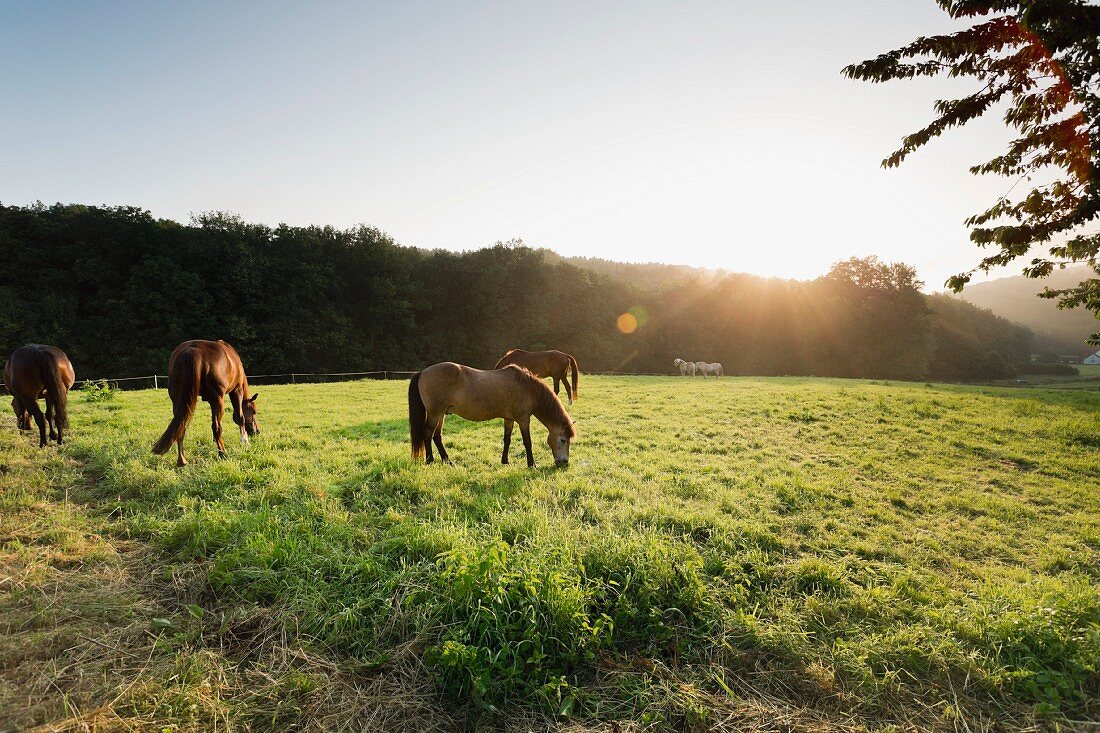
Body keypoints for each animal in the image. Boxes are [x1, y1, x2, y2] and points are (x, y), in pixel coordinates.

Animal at [407, 360, 576, 468]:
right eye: (563, 440)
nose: (564, 463)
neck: (528, 388)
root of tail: (423, 372)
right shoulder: (523, 419)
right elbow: (527, 442)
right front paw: (531, 464)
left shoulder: (509, 419)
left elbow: (507, 439)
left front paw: (505, 461)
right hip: (435, 413)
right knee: (427, 433)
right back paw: (430, 460)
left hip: (441, 414)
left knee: (437, 436)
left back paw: (447, 461)